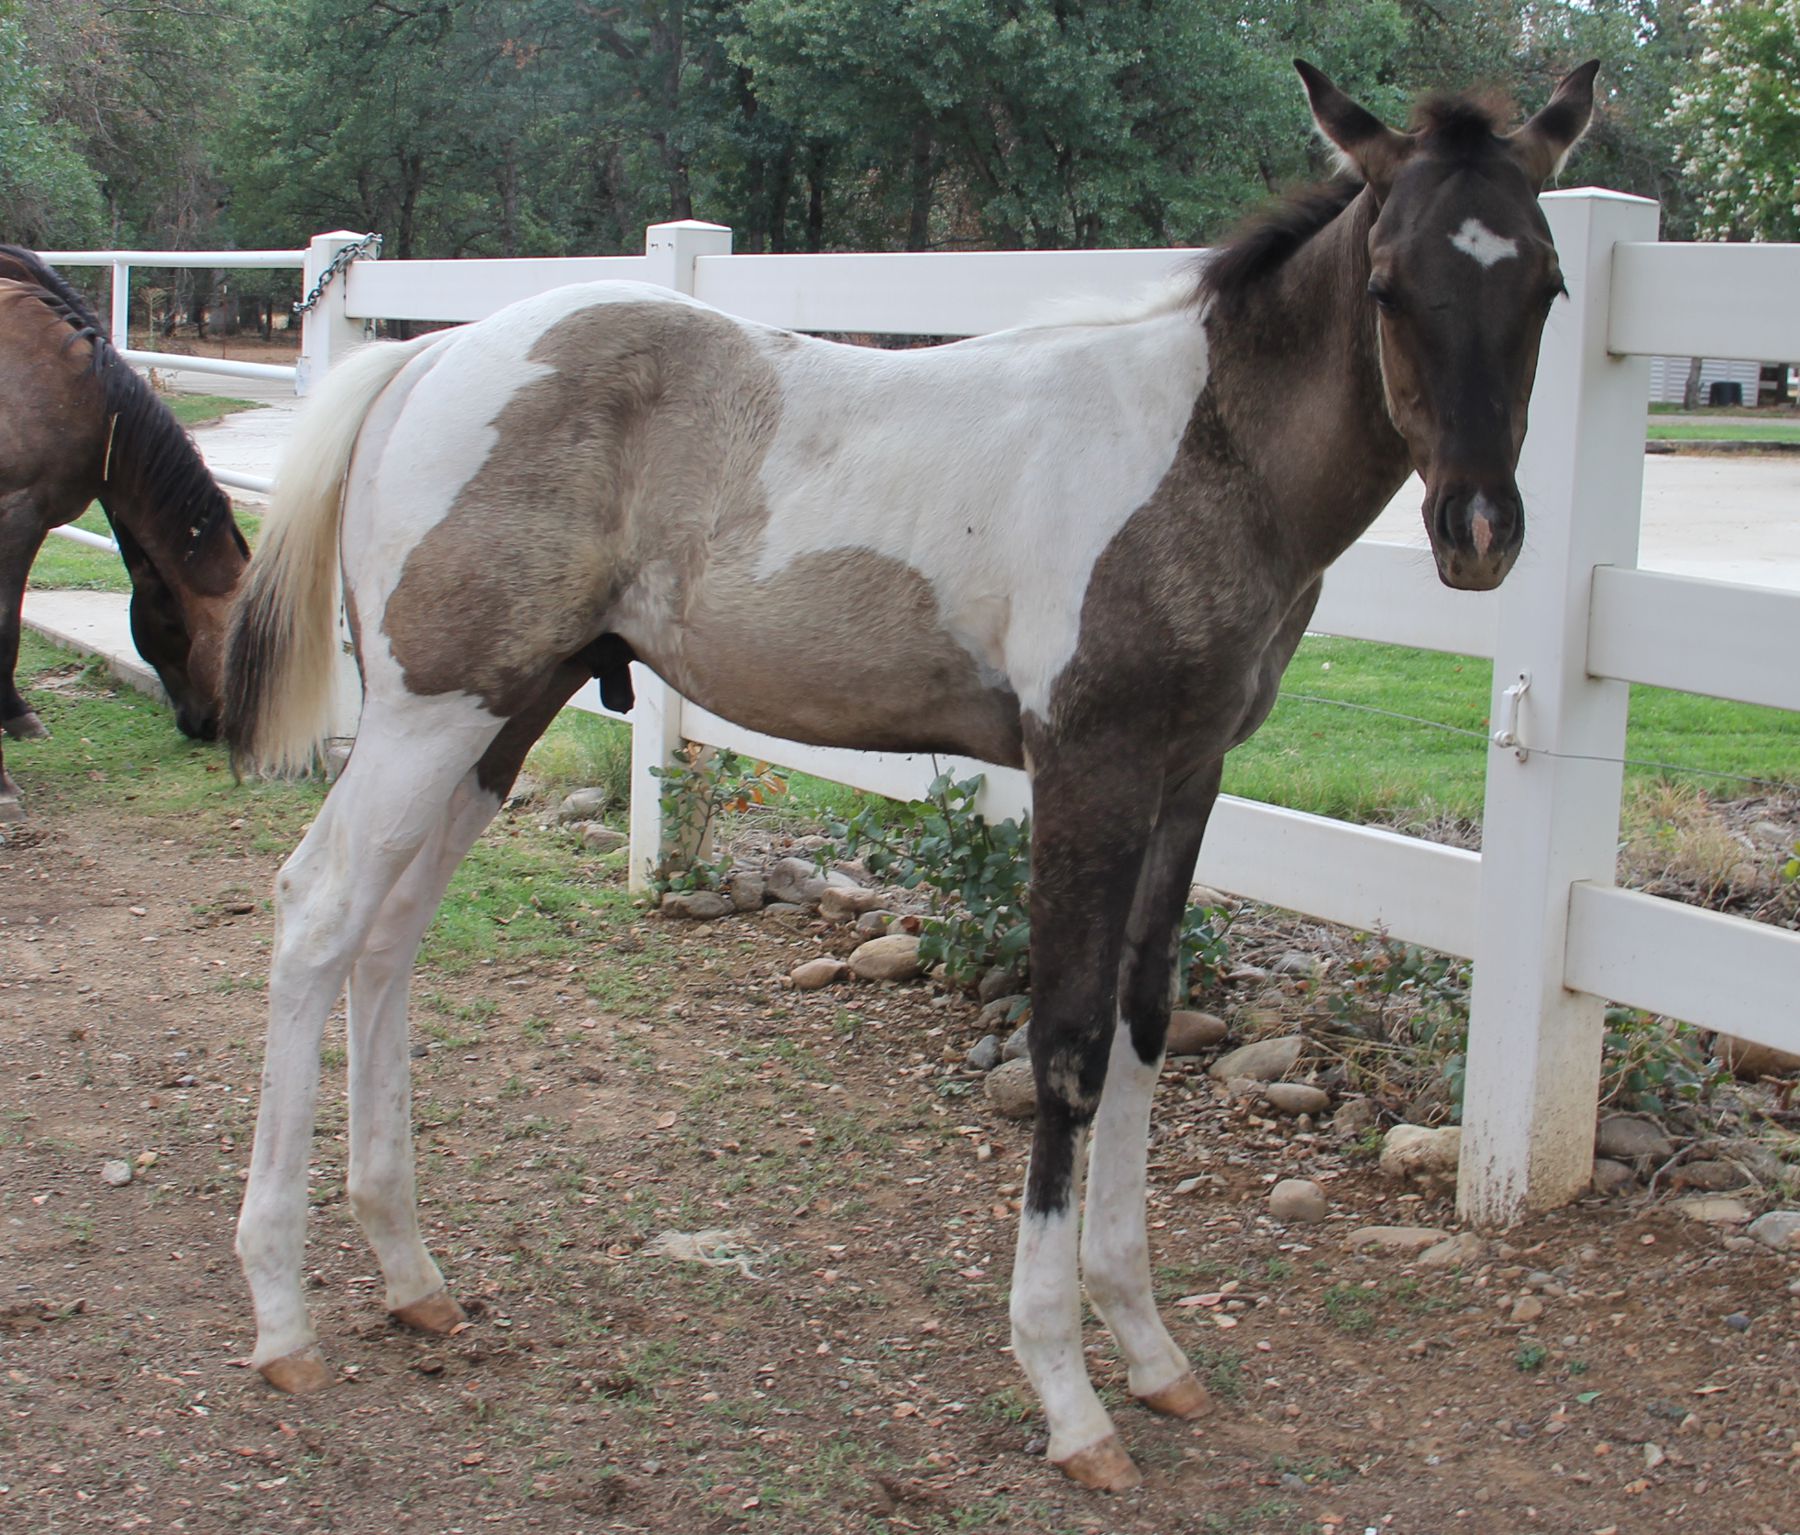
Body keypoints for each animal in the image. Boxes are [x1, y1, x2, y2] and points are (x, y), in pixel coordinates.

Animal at [223, 61, 1598, 1491]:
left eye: (1548, 285)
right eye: (1388, 283)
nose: (1480, 531)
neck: (1200, 448)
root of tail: (428, 353)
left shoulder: (1188, 775)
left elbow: (1145, 1023)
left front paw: (1150, 1347)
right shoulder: (1089, 765)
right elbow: (1068, 1048)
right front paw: (1068, 1392)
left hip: (502, 714)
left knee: (389, 937)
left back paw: (411, 1274)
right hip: (429, 715)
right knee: (317, 914)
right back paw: (283, 1314)